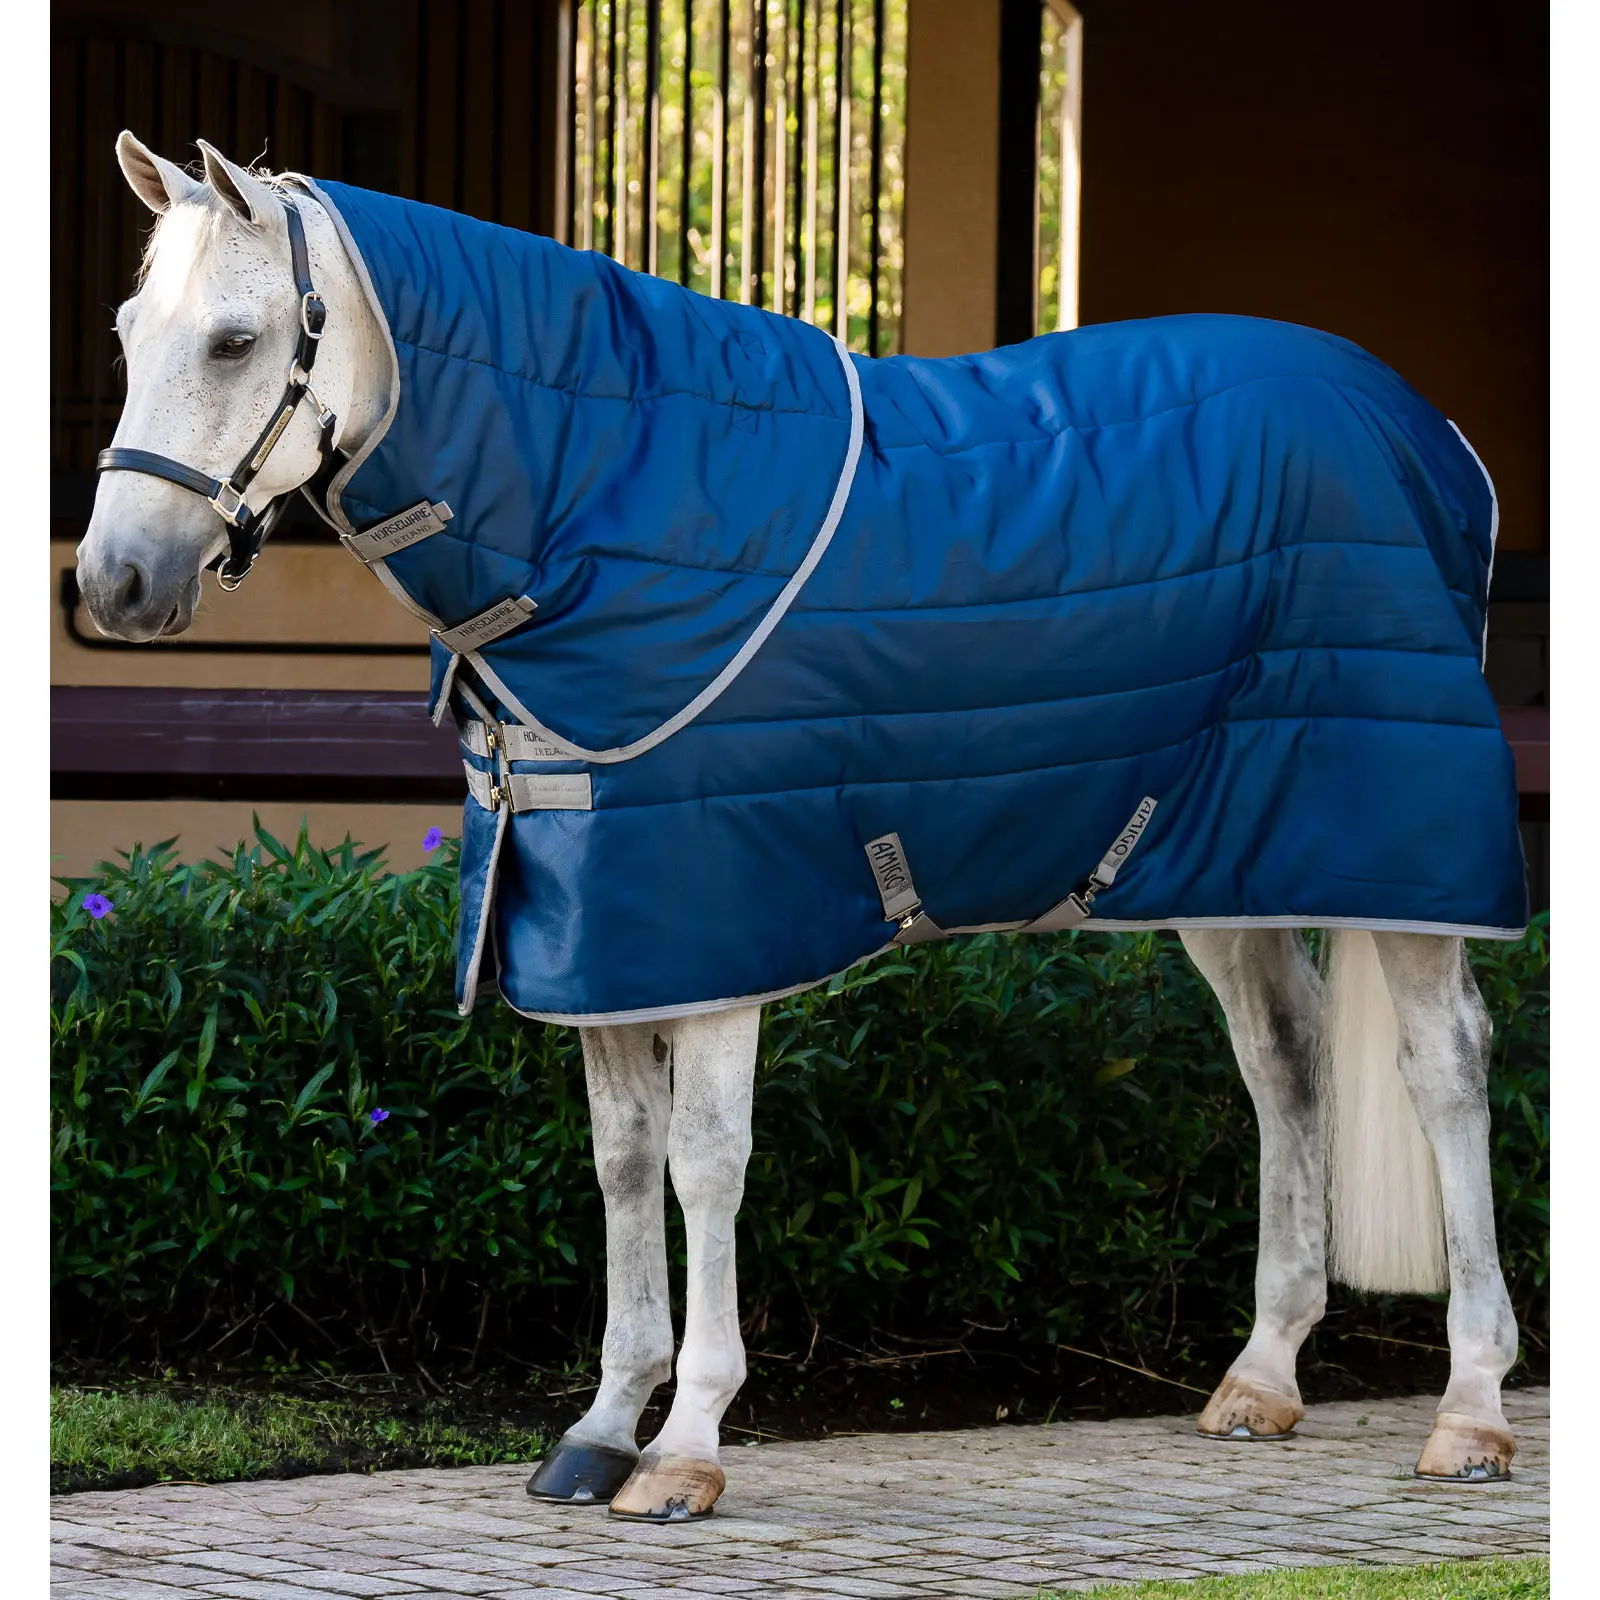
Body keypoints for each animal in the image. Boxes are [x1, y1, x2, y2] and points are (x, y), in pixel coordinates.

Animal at [77, 132, 1526, 1522]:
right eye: (130, 332)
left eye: (236, 340)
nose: (113, 582)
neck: (600, 498)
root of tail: (1434, 433)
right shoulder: (602, 929)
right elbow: (621, 1163)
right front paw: (601, 1429)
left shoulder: (714, 926)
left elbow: (704, 1165)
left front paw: (685, 1450)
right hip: (1222, 855)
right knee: (1284, 1060)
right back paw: (1261, 1377)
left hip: (1397, 848)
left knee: (1445, 1068)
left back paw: (1470, 1413)